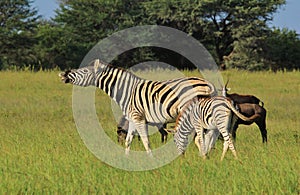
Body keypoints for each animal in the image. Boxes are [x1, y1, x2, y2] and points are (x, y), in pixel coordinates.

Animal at [59, 59, 218, 155]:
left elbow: (145, 140)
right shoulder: (132, 119)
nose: (63, 74)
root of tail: (207, 83)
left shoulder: (138, 118)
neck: (127, 91)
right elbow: (129, 140)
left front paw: (151, 158)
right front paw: (126, 159)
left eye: (85, 71)